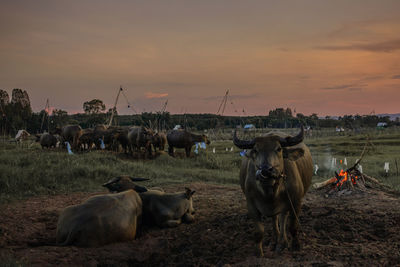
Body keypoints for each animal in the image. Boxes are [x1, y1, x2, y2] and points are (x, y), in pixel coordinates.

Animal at [233, 126, 314, 256]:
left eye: (279, 148)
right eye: (255, 150)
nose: (266, 170)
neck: (270, 192)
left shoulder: (296, 202)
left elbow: (292, 226)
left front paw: (295, 246)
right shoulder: (251, 204)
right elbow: (259, 231)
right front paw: (258, 252)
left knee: (282, 218)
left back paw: (282, 242)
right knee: (275, 219)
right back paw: (275, 240)